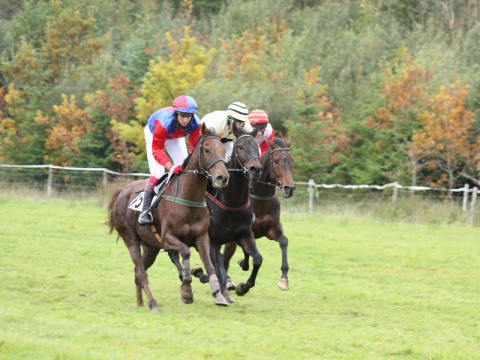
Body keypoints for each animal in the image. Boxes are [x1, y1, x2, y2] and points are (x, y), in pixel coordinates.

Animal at [107, 124, 231, 312]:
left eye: (223, 150)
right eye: (207, 150)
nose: (222, 177)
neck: (189, 198)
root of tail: (122, 192)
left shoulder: (202, 237)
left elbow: (210, 265)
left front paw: (218, 295)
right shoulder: (167, 239)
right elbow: (185, 252)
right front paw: (187, 290)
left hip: (151, 247)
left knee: (138, 271)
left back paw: (140, 303)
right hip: (131, 239)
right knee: (141, 272)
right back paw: (153, 304)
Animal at [222, 136, 296, 292]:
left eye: (292, 160)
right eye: (276, 160)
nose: (289, 188)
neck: (261, 196)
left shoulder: (270, 229)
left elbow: (284, 241)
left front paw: (284, 279)